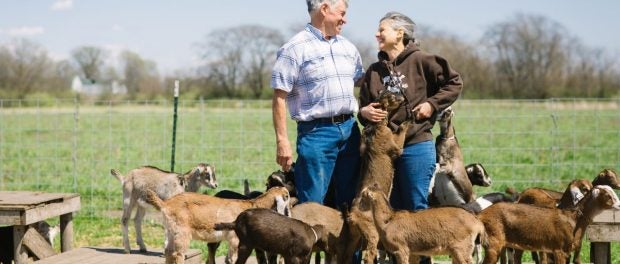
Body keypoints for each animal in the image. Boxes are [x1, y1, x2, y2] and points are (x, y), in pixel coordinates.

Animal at [146, 186, 294, 264]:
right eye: (286, 196)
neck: (254, 205)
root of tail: (166, 204)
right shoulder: (235, 240)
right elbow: (232, 259)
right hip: (181, 233)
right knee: (177, 254)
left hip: (170, 231)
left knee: (168, 252)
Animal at [480, 186, 620, 264]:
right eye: (608, 195)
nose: (619, 205)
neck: (573, 219)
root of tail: (482, 214)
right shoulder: (559, 250)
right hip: (493, 243)